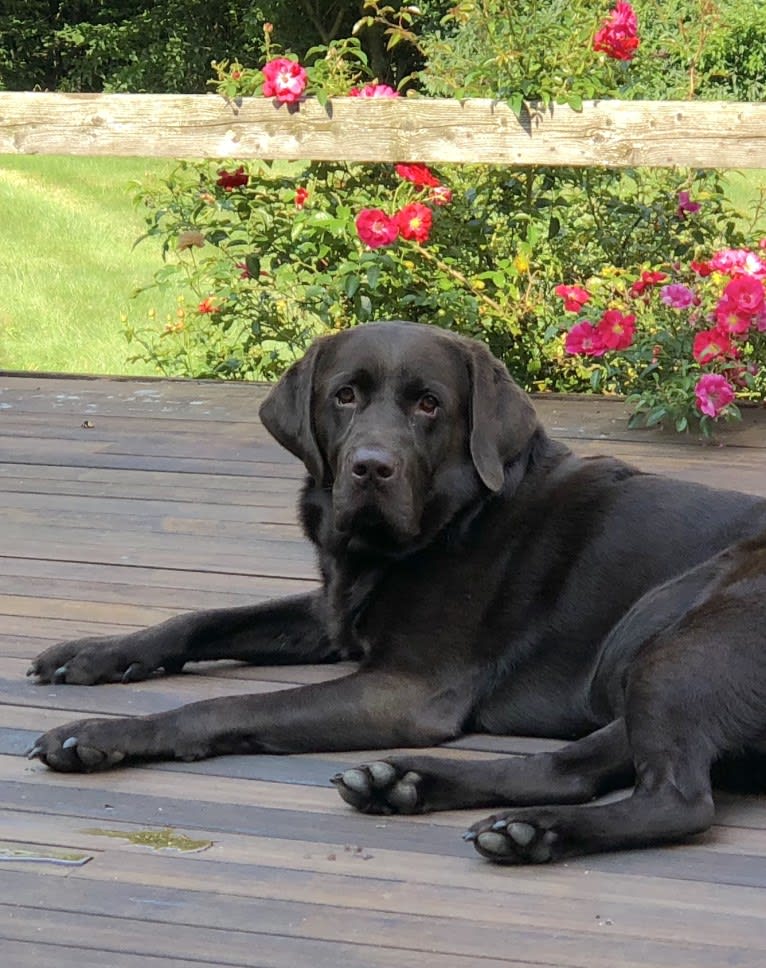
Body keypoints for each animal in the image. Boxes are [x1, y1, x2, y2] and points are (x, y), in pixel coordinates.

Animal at [25, 322, 766, 864]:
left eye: (429, 404)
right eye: (344, 396)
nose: (371, 467)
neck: (448, 524)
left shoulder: (405, 689)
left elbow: (230, 704)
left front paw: (106, 732)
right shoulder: (333, 615)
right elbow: (201, 618)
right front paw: (90, 655)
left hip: (677, 633)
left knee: (677, 800)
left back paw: (535, 830)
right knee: (580, 765)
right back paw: (413, 786)